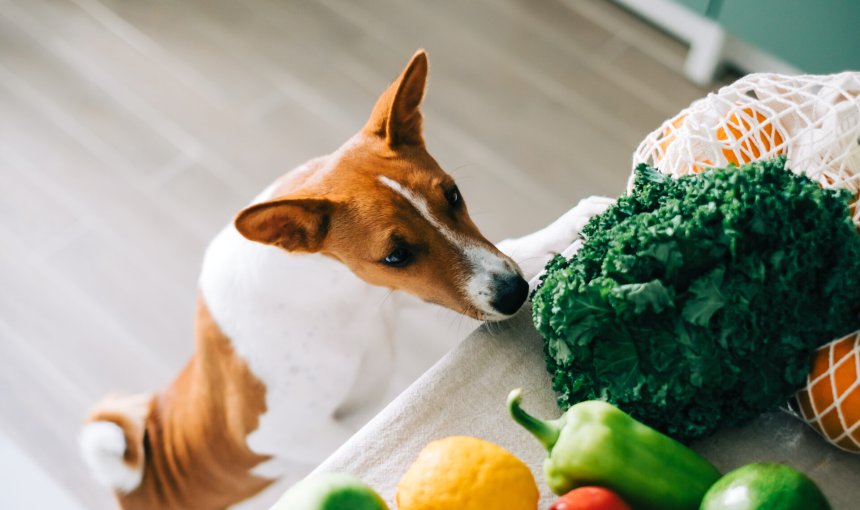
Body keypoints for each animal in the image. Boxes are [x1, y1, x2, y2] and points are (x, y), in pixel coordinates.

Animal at [75, 49, 612, 508]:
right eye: (395, 255)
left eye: (454, 195)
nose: (514, 293)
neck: (334, 297)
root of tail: (136, 485)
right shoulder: (281, 433)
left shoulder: (403, 294)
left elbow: (517, 246)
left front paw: (581, 220)